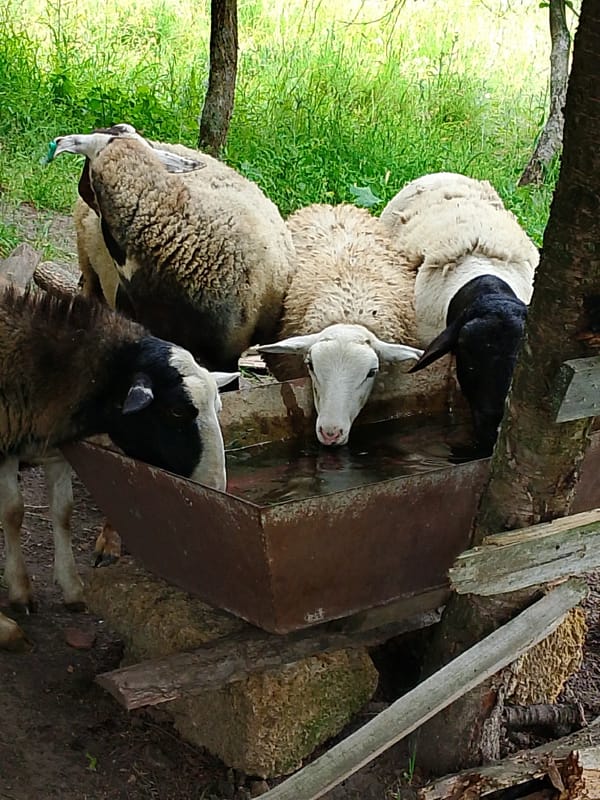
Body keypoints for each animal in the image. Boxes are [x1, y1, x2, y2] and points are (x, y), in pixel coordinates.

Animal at [0, 285, 237, 649]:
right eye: (177, 411)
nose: (215, 487)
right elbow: (13, 511)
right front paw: (14, 607)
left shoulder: (56, 447)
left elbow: (63, 511)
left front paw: (71, 587)